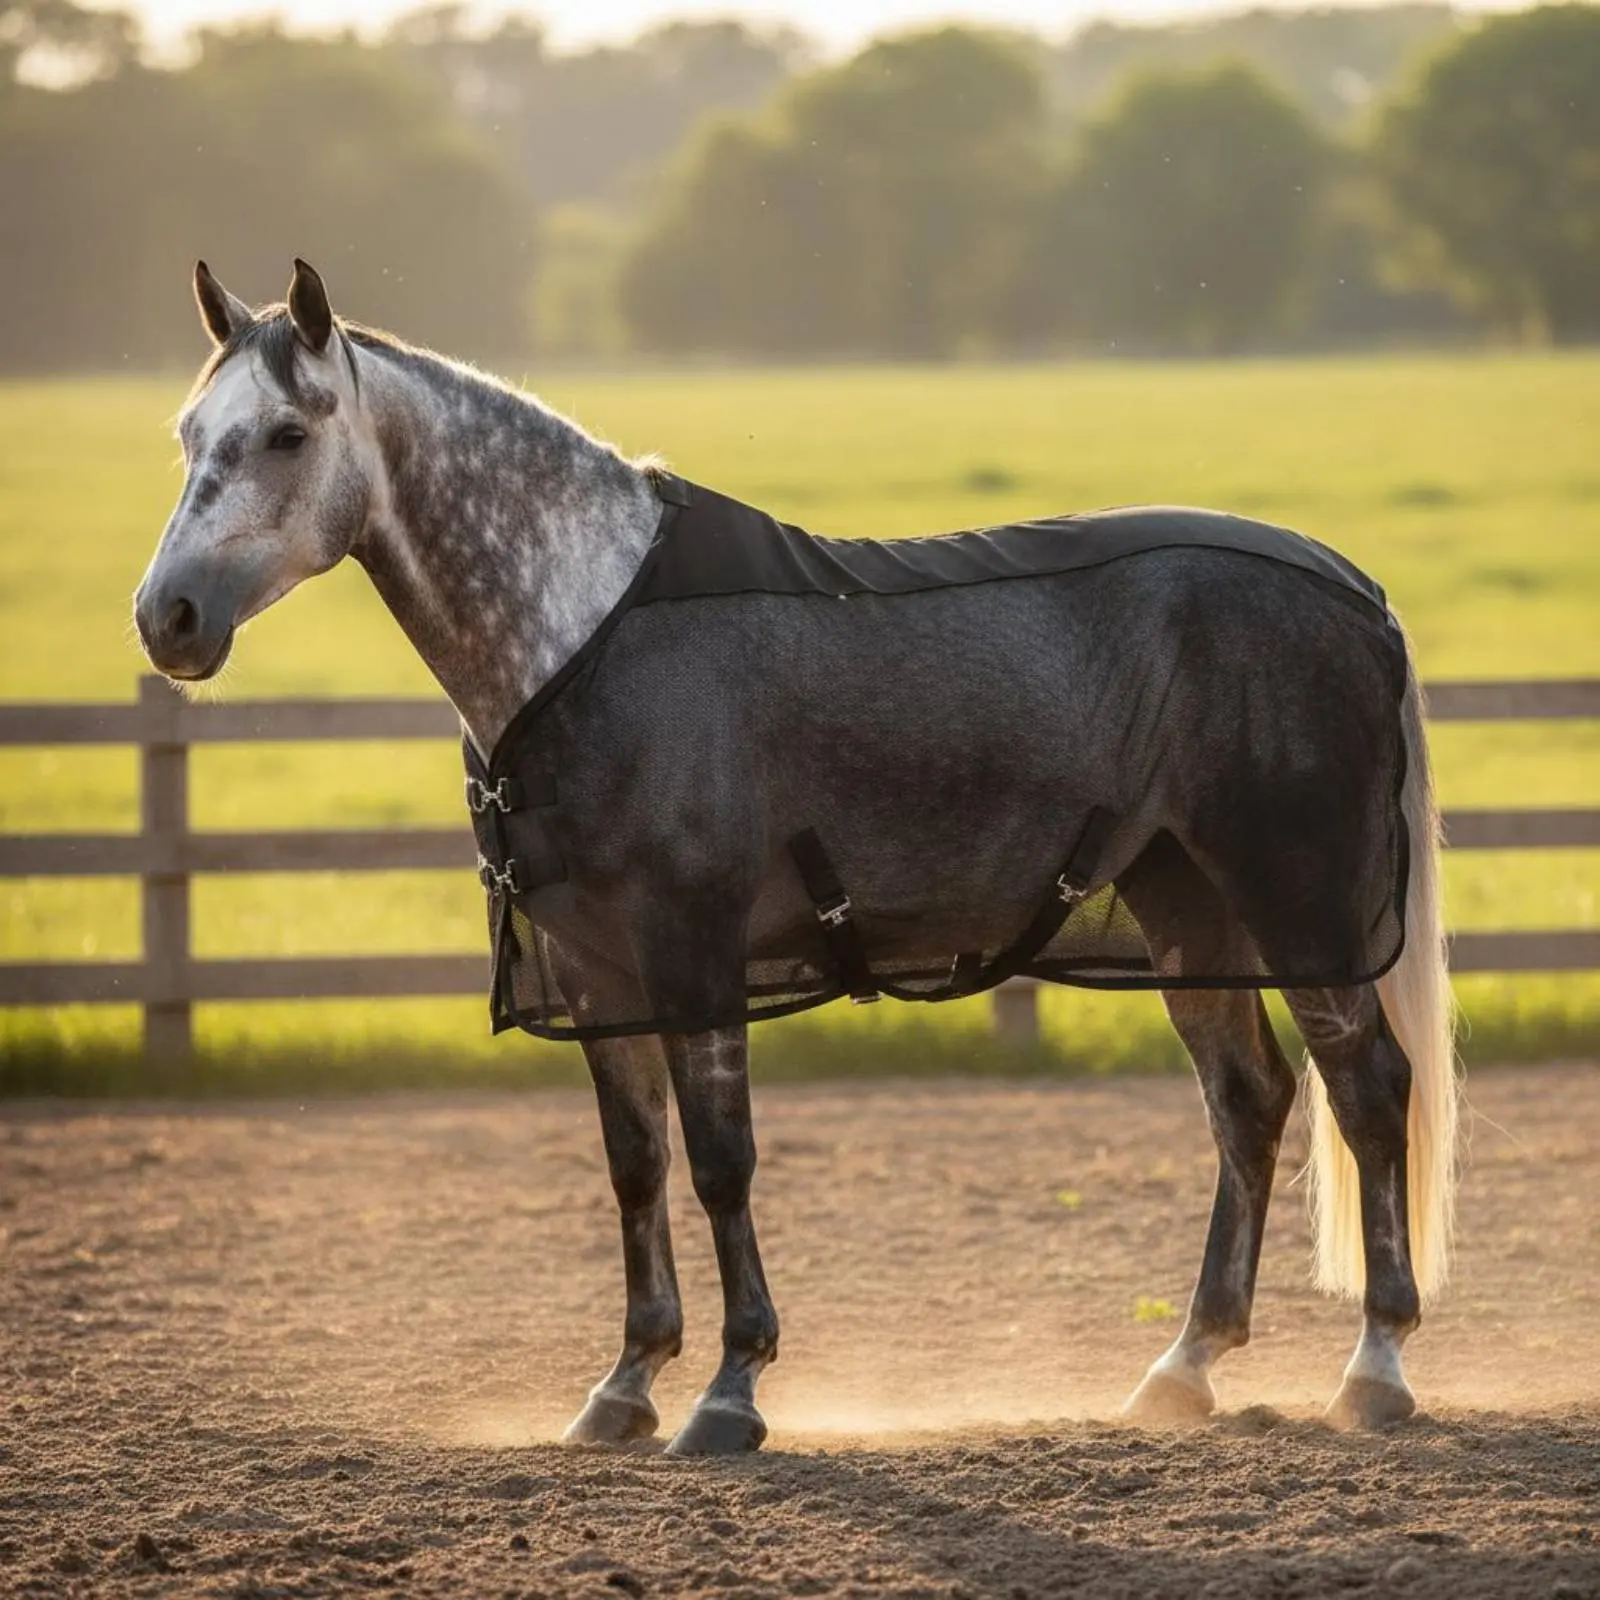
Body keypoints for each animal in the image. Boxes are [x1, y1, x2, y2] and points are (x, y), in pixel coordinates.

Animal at [134, 259, 1458, 1454]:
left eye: (287, 433)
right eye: (190, 432)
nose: (167, 619)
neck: (588, 632)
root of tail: (1355, 591)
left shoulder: (695, 951)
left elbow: (721, 1160)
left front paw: (730, 1390)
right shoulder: (600, 974)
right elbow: (635, 1166)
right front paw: (625, 1385)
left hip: (1301, 905)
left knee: (1366, 1090)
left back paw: (1376, 1365)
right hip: (1186, 908)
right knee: (1249, 1101)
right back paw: (1184, 1367)